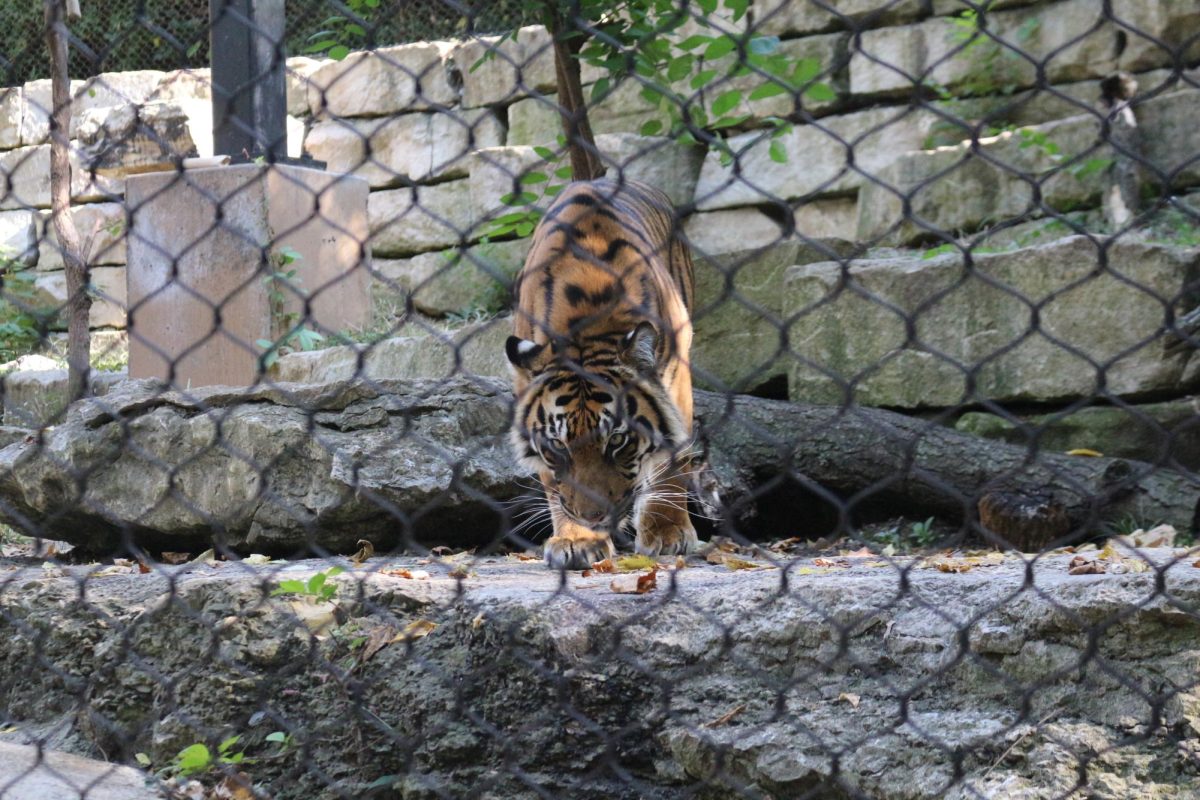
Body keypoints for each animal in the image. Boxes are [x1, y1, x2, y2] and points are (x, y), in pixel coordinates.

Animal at [504, 178, 700, 573]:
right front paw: (577, 539)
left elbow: (671, 461)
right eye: (557, 445)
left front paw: (668, 532)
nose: (592, 518)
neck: (588, 325)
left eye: (618, 441)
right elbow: (555, 484)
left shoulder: (675, 375)